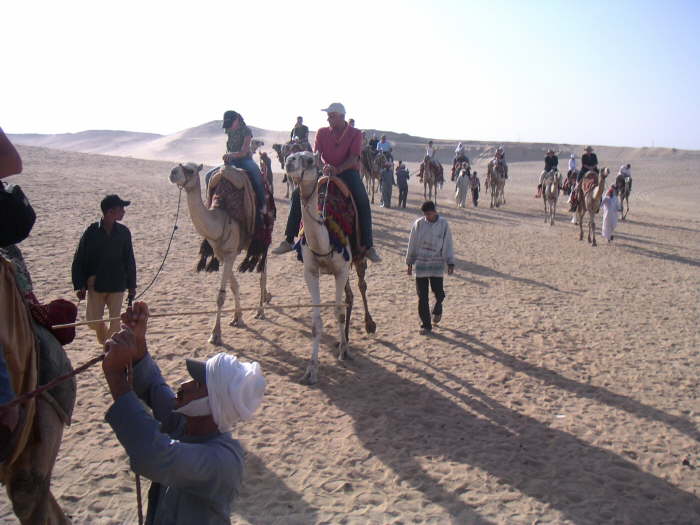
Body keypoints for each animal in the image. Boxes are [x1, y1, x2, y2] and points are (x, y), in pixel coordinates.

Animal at [169, 163, 272, 345]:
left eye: (191, 170)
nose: (173, 172)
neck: (220, 219)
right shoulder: (222, 255)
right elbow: (234, 286)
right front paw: (237, 318)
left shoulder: (230, 254)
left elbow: (220, 297)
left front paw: (215, 334)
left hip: (261, 242)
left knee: (263, 274)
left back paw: (261, 310)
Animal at [284, 151, 376, 385]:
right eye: (292, 154)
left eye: (309, 159)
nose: (289, 162)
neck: (324, 241)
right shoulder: (311, 272)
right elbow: (316, 323)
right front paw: (311, 371)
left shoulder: (341, 270)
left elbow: (338, 311)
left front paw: (344, 351)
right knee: (350, 295)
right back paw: (345, 338)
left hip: (358, 257)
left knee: (361, 287)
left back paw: (368, 325)